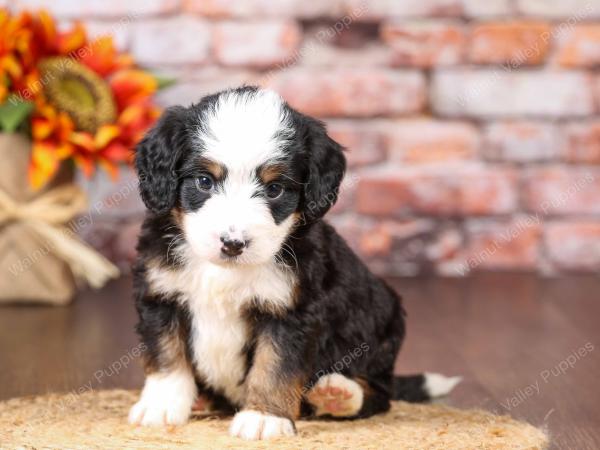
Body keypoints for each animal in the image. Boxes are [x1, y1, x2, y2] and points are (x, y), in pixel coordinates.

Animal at [130, 87, 460, 440]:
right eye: (205, 181)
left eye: (274, 188)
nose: (233, 244)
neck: (225, 273)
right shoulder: (161, 294)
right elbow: (167, 356)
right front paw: (162, 406)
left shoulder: (290, 311)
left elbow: (273, 367)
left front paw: (264, 416)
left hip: (382, 328)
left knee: (380, 394)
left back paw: (338, 394)